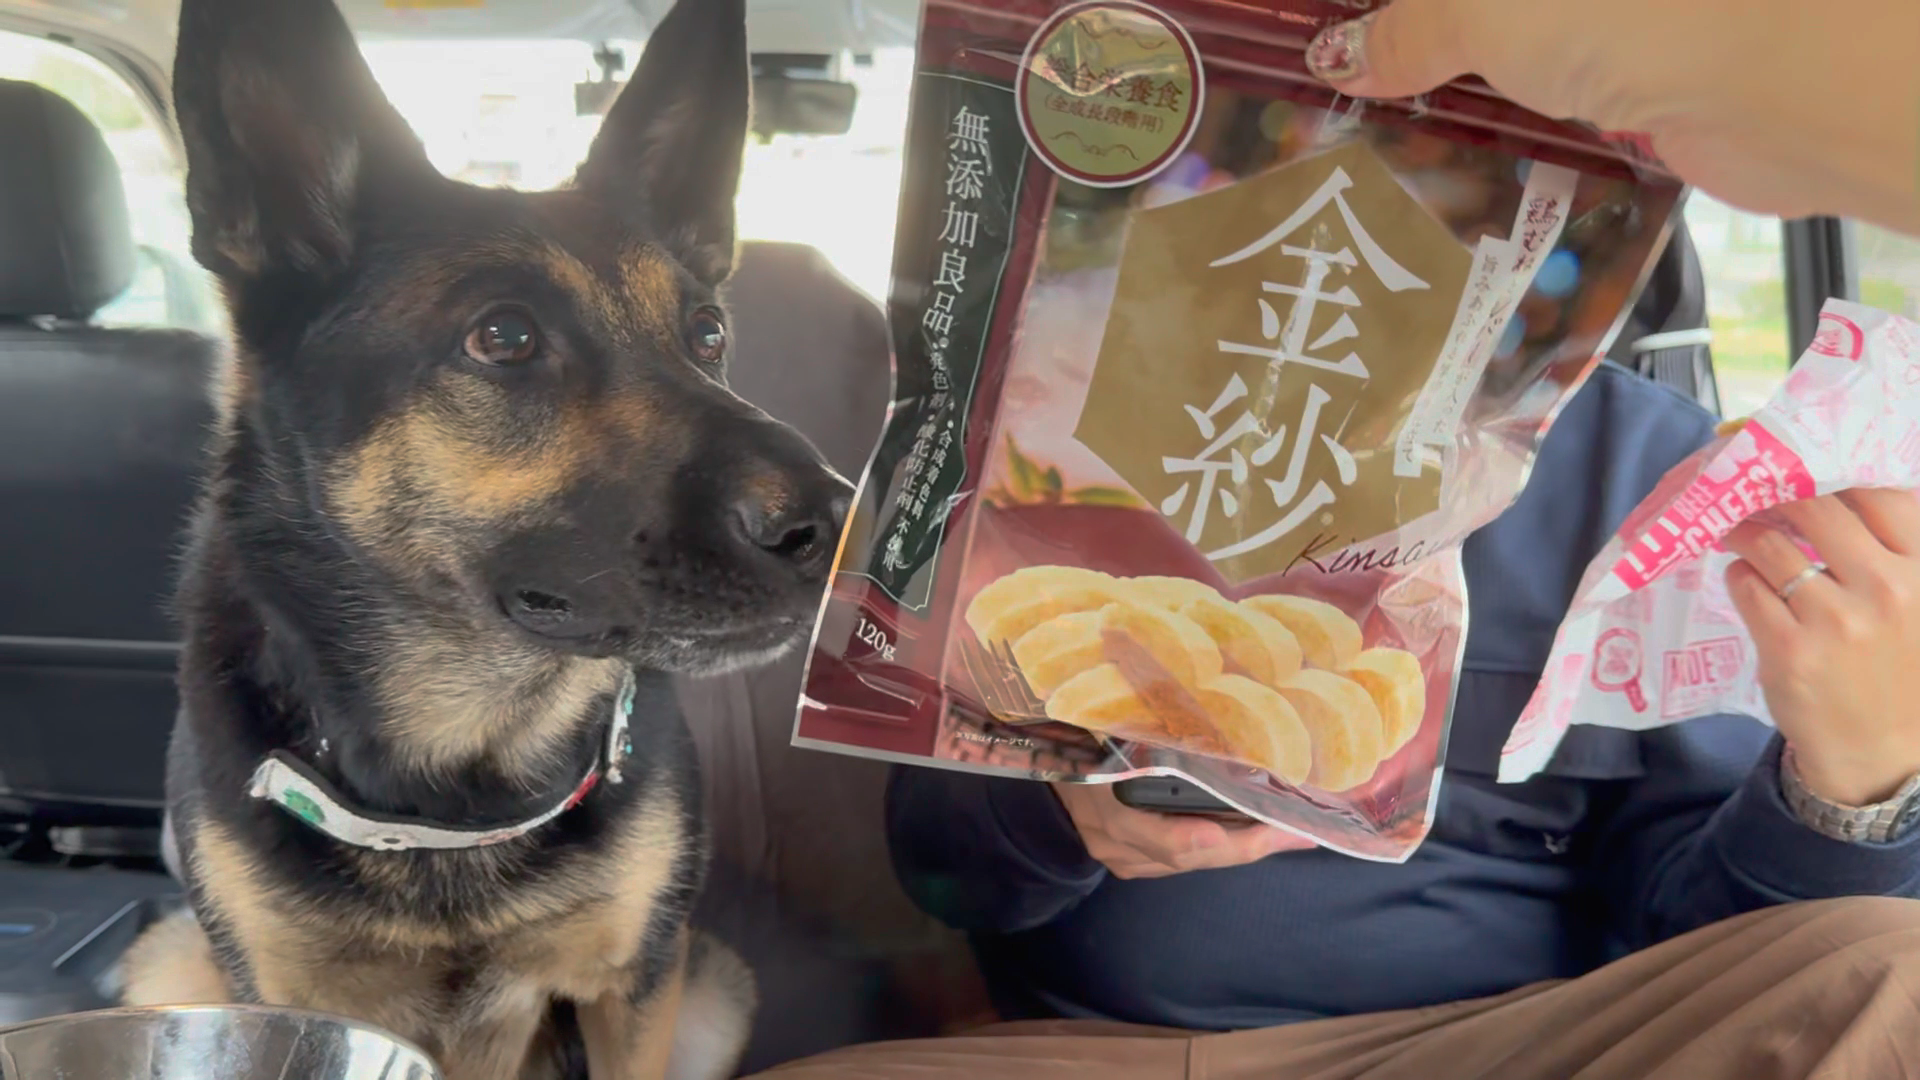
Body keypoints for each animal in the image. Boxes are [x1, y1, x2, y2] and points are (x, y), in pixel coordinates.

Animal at [116, 0, 853, 1076]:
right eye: (504, 338)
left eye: (708, 334)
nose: (835, 522)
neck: (455, 793)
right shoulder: (282, 1008)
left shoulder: (636, 988)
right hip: (167, 965)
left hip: (715, 988)